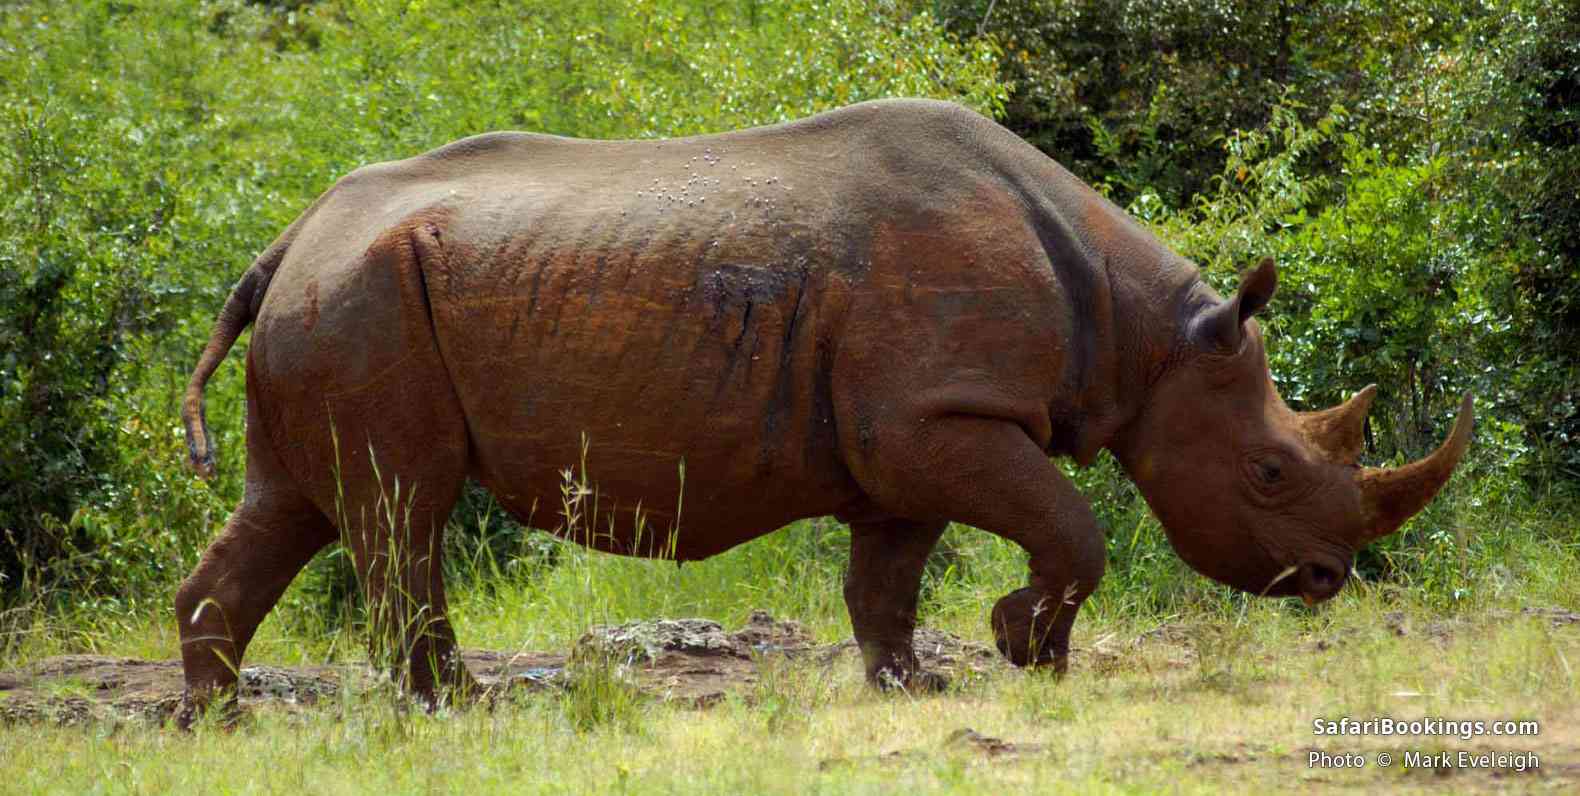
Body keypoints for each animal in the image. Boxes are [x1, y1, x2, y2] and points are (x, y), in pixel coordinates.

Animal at [176, 99, 1472, 717]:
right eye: (1267, 472)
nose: (1325, 580)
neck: (1144, 338)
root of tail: (285, 238)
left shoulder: (909, 433)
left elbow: (884, 576)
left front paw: (915, 686)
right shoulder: (936, 412)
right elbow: (1073, 529)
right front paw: (1026, 651)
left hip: (336, 297)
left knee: (294, 503)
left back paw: (219, 720)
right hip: (361, 300)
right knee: (403, 507)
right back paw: (461, 709)